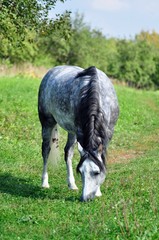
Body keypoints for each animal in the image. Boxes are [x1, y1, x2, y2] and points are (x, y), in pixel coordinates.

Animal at [38, 65, 118, 201]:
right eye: (80, 171)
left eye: (96, 172)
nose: (85, 198)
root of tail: (52, 71)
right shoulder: (81, 132)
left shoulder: (108, 133)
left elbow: (101, 159)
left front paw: (98, 192)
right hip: (47, 122)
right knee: (46, 150)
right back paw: (44, 183)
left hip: (72, 130)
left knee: (68, 152)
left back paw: (72, 184)